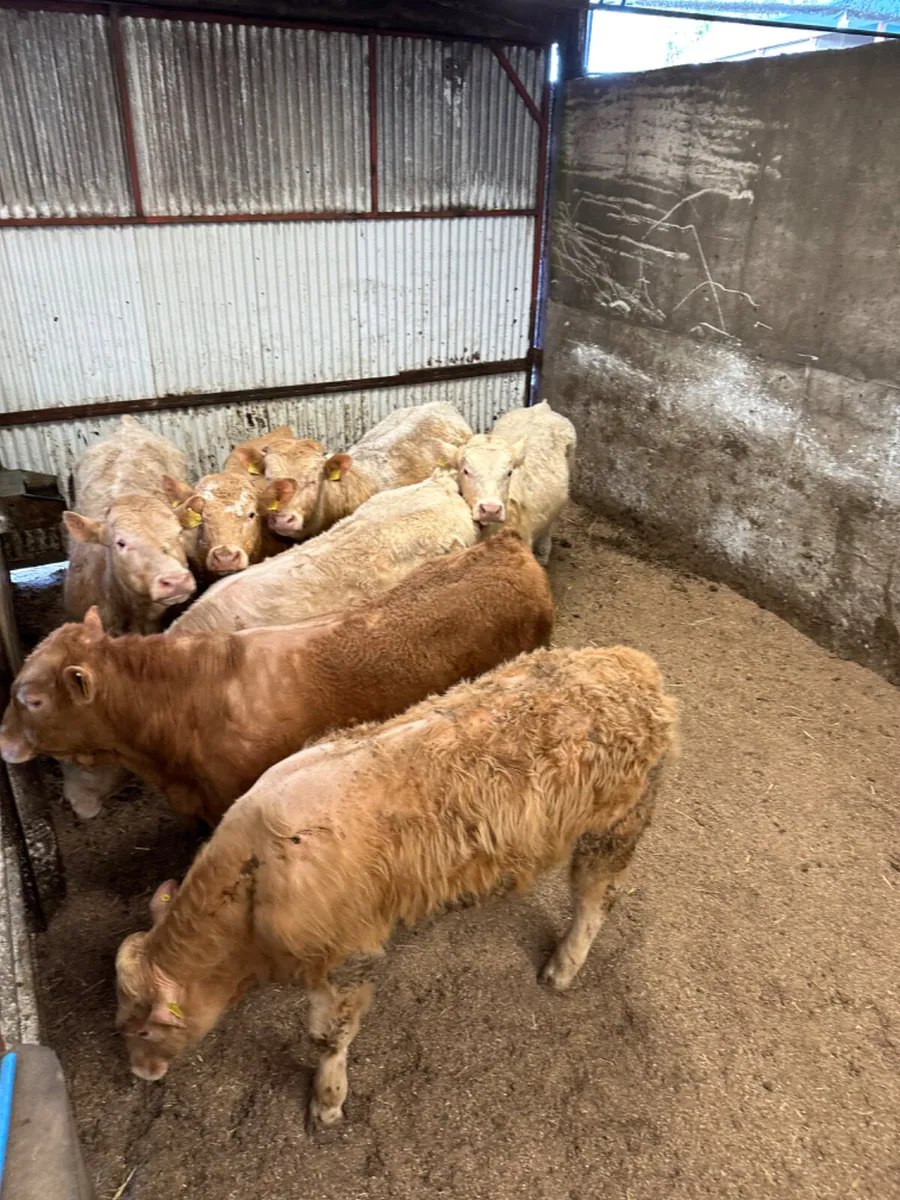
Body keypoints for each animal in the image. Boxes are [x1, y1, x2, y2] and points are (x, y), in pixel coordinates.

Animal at [113, 645, 677, 1129]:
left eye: (144, 1029)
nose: (138, 1073)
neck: (254, 877)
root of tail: (633, 664)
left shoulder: (347, 955)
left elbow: (328, 1036)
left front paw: (327, 1101)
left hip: (617, 825)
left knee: (594, 898)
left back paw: (563, 966)